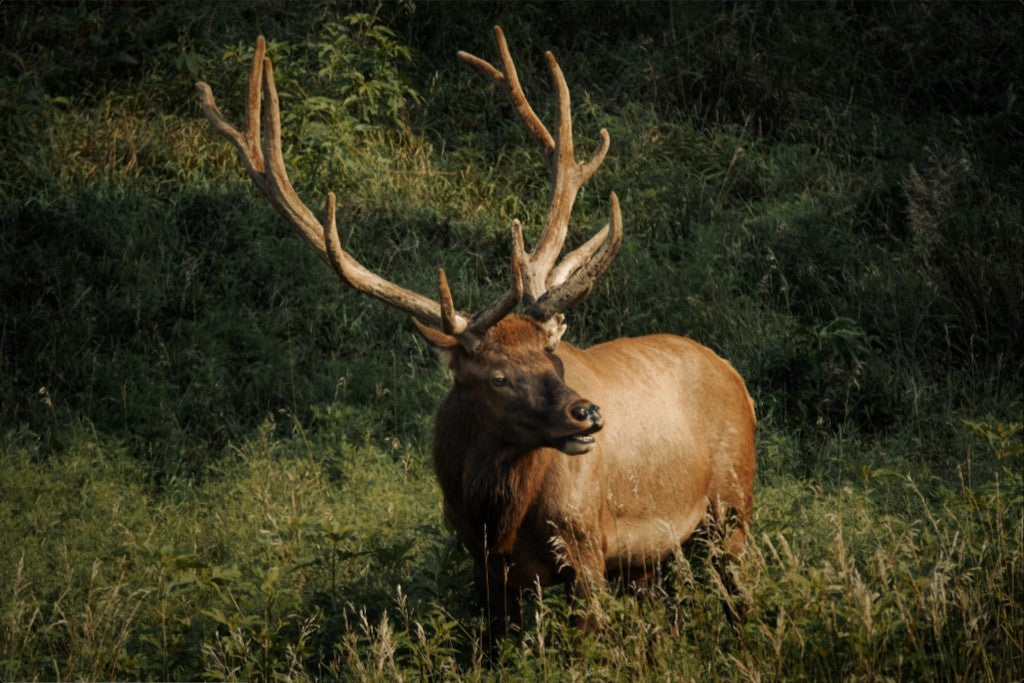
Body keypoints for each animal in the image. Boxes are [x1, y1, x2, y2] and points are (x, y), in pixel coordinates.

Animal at [195, 25, 757, 634]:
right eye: (497, 377)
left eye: (554, 359)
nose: (587, 413)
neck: (499, 516)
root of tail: (737, 377)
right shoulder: (481, 563)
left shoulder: (585, 542)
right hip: (652, 556)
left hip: (734, 504)